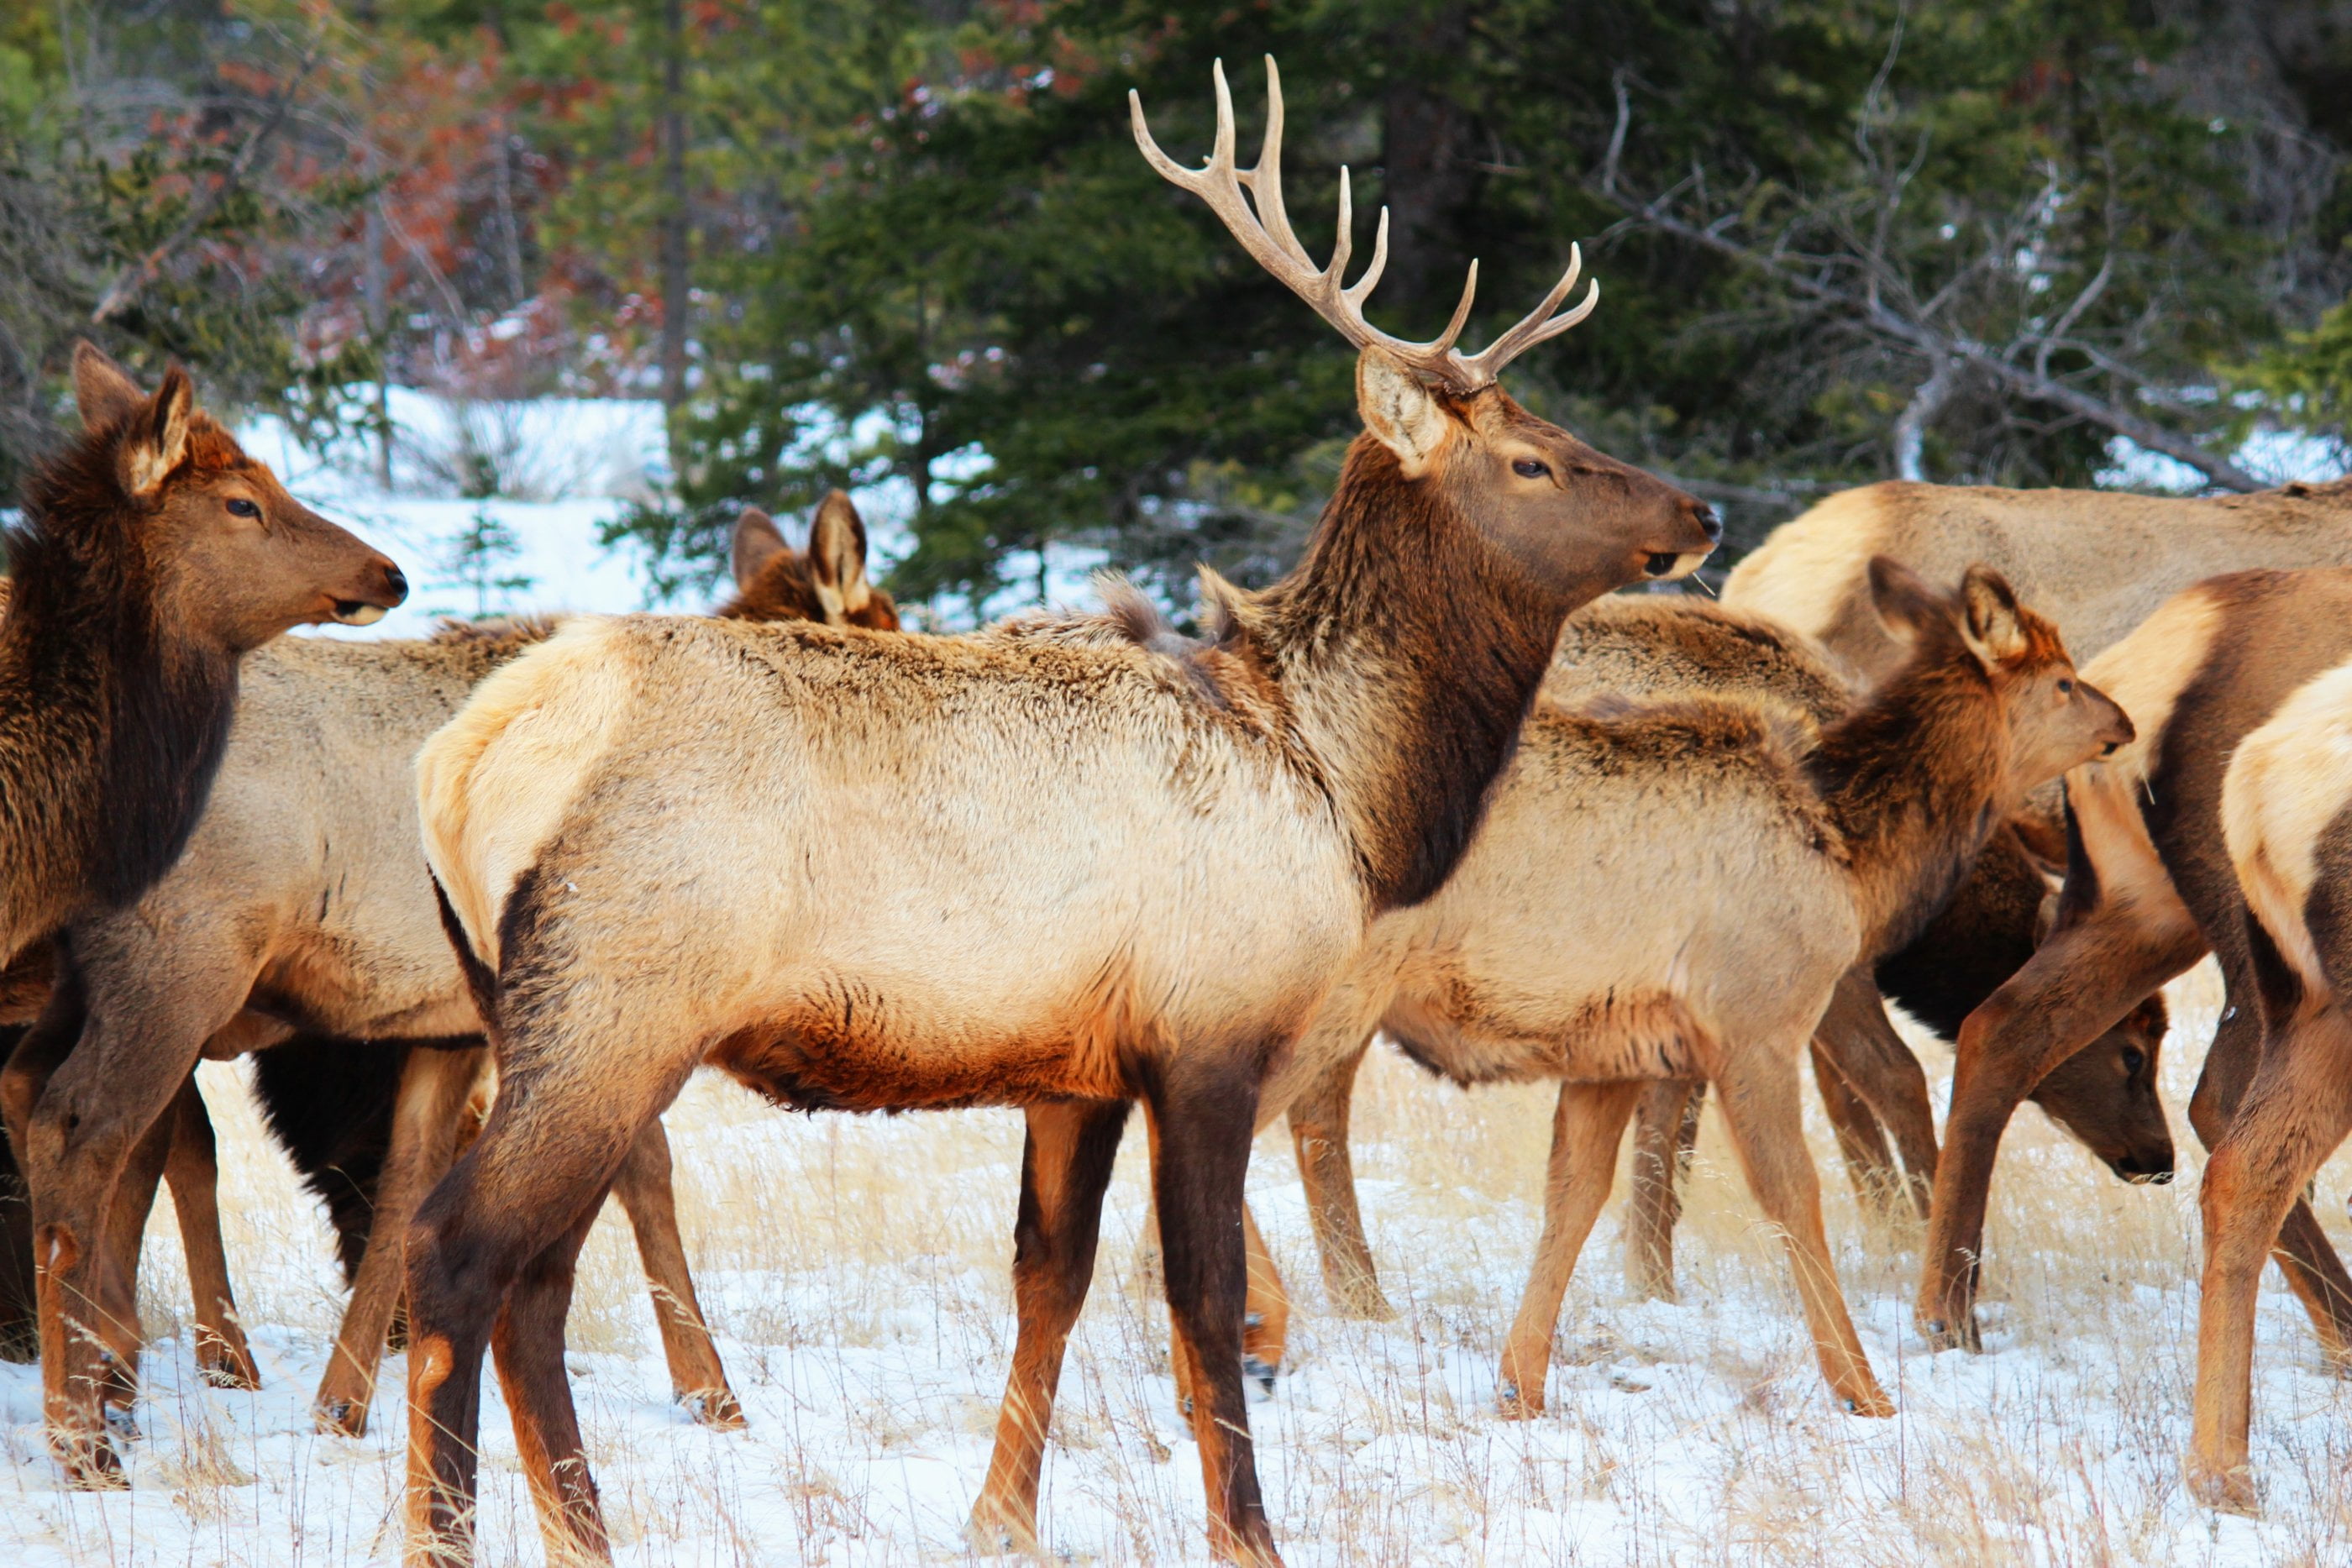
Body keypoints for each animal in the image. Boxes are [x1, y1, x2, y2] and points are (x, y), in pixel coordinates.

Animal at [0, 493, 889, 1486]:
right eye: (884, 620)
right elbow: (644, 1170)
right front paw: (711, 1389)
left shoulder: (447, 1026)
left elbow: (404, 1190)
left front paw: (342, 1404)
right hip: (176, 967)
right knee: (88, 1130)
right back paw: (87, 1426)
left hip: (96, 979)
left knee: (41, 1098)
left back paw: (104, 1382)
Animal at [390, 61, 1712, 1568]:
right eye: (1537, 462)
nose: (1700, 510)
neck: (1343, 779)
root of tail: (457, 762)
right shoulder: (1210, 1028)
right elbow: (1200, 1299)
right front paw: (1248, 1534)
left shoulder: (1075, 1066)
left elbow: (1051, 1281)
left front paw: (1002, 1513)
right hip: (619, 997)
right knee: (461, 1251)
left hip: (540, 1010)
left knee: (538, 1281)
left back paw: (585, 1532)